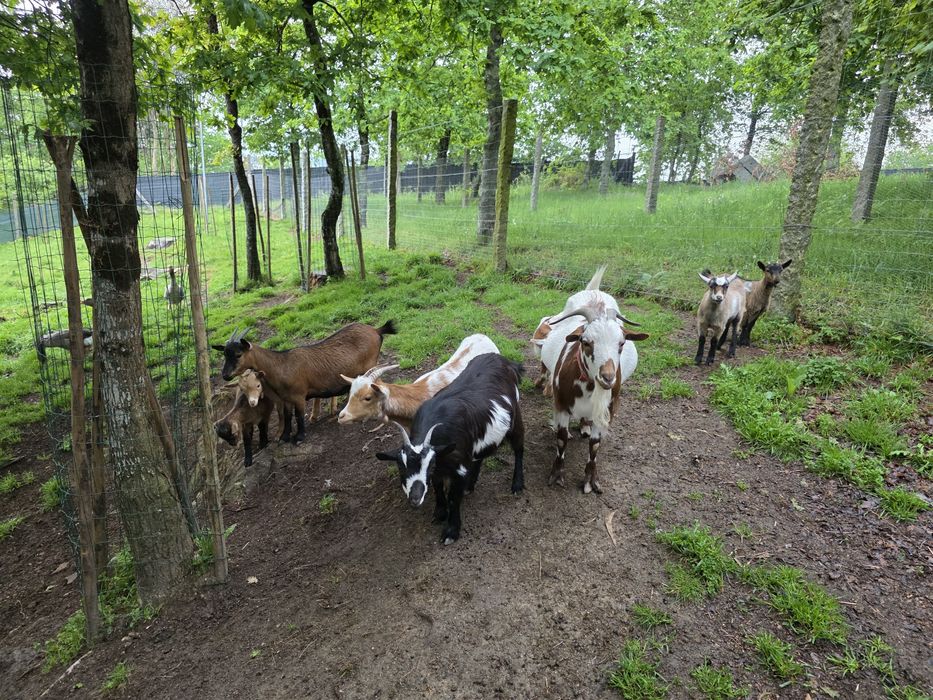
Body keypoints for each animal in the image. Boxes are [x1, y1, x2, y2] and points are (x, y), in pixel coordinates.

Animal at [213, 321, 396, 444]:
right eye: (225, 354)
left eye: (238, 354)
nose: (225, 375)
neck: (281, 365)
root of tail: (376, 330)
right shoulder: (286, 398)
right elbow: (287, 416)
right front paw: (285, 437)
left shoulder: (299, 396)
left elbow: (299, 416)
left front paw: (299, 437)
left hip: (370, 366)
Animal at [375, 353, 524, 544]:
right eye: (401, 467)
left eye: (429, 465)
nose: (415, 498)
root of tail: (504, 360)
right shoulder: (443, 464)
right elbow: (438, 487)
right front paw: (440, 513)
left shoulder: (458, 467)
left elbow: (453, 498)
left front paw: (451, 531)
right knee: (480, 455)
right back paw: (471, 485)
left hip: (515, 418)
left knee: (519, 447)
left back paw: (517, 484)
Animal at [539, 304, 648, 494]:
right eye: (585, 342)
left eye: (622, 343)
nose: (607, 378)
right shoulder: (561, 405)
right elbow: (560, 438)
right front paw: (556, 476)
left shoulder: (605, 412)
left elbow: (595, 444)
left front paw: (591, 481)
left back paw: (584, 427)